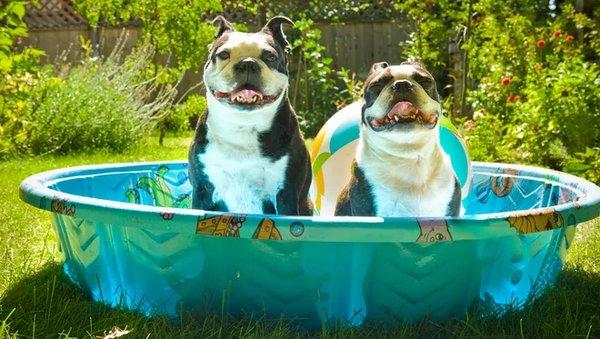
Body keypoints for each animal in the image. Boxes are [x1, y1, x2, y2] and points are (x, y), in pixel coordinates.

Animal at [188, 15, 312, 216]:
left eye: (270, 57)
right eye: (223, 54)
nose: (247, 63)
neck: (243, 125)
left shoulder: (286, 194)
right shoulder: (202, 190)